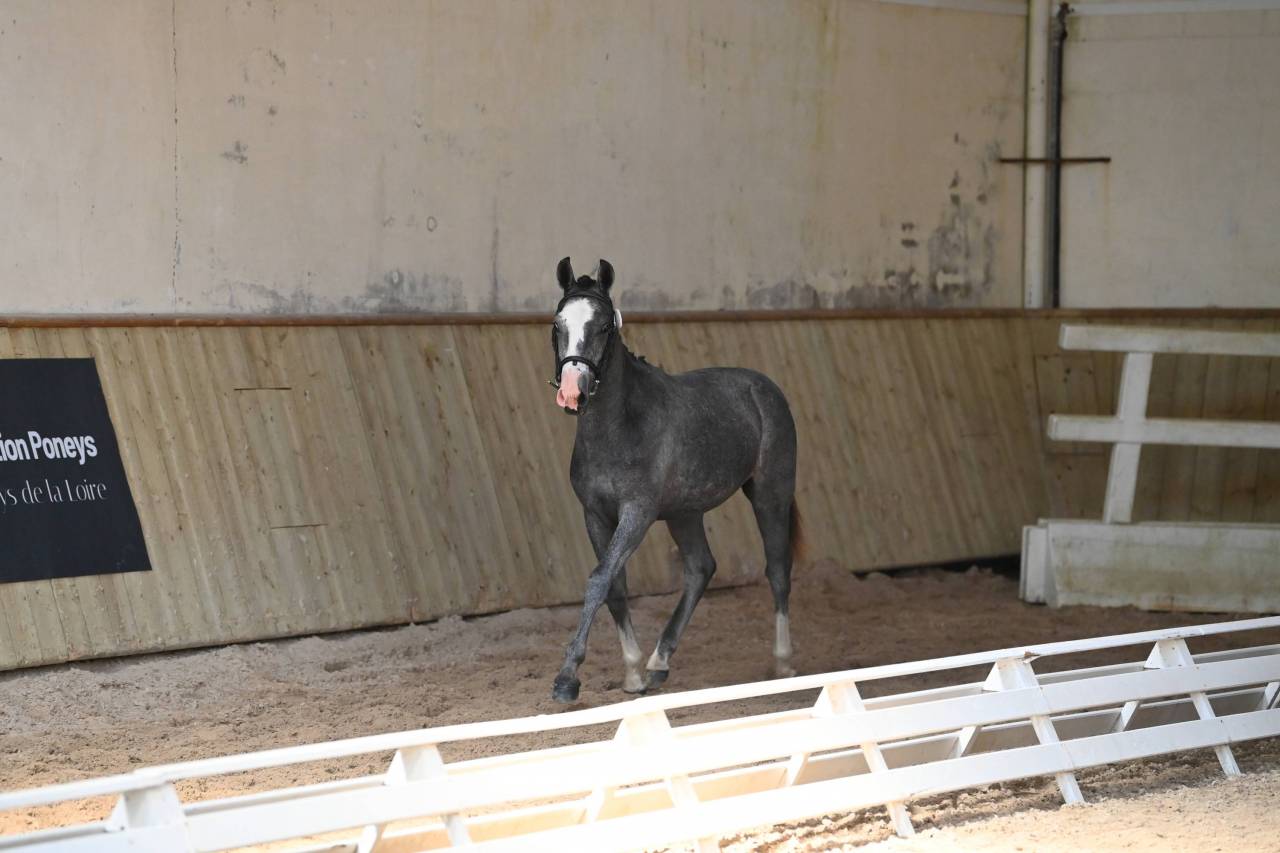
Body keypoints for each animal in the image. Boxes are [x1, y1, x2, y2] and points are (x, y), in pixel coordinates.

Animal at [548, 257, 802, 704]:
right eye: (558, 324)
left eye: (603, 326)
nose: (572, 393)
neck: (619, 427)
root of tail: (763, 387)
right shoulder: (595, 515)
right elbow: (613, 585)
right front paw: (632, 673)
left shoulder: (637, 513)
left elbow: (599, 579)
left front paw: (567, 678)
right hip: (686, 513)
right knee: (701, 568)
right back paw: (657, 663)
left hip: (770, 495)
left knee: (777, 568)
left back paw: (783, 663)